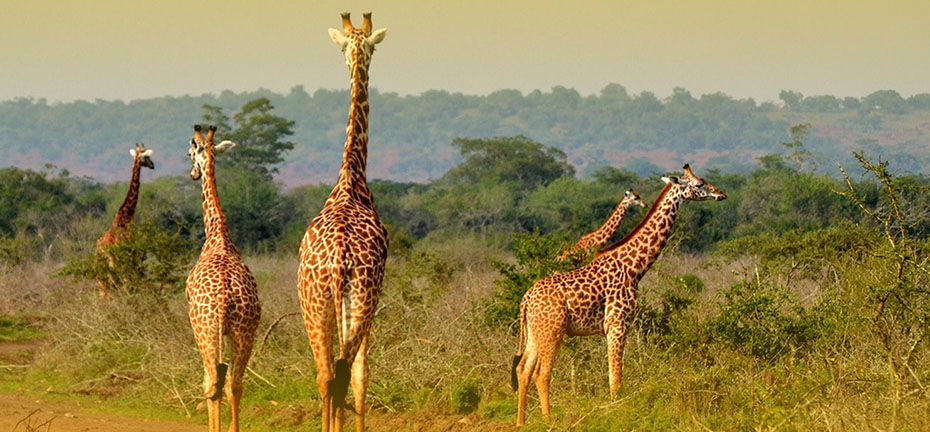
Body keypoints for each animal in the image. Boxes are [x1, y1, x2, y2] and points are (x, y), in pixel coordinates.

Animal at [95, 143, 154, 298]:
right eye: (147, 157)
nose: (153, 165)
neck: (124, 218)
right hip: (116, 265)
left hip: (100, 269)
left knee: (103, 290)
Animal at [511, 164, 726, 426]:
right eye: (699, 184)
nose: (721, 194)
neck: (634, 267)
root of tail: (526, 299)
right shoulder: (617, 323)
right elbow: (616, 379)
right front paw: (616, 413)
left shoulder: (616, 326)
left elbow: (613, 376)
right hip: (553, 330)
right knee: (541, 374)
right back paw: (548, 421)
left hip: (535, 331)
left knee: (523, 370)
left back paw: (521, 422)